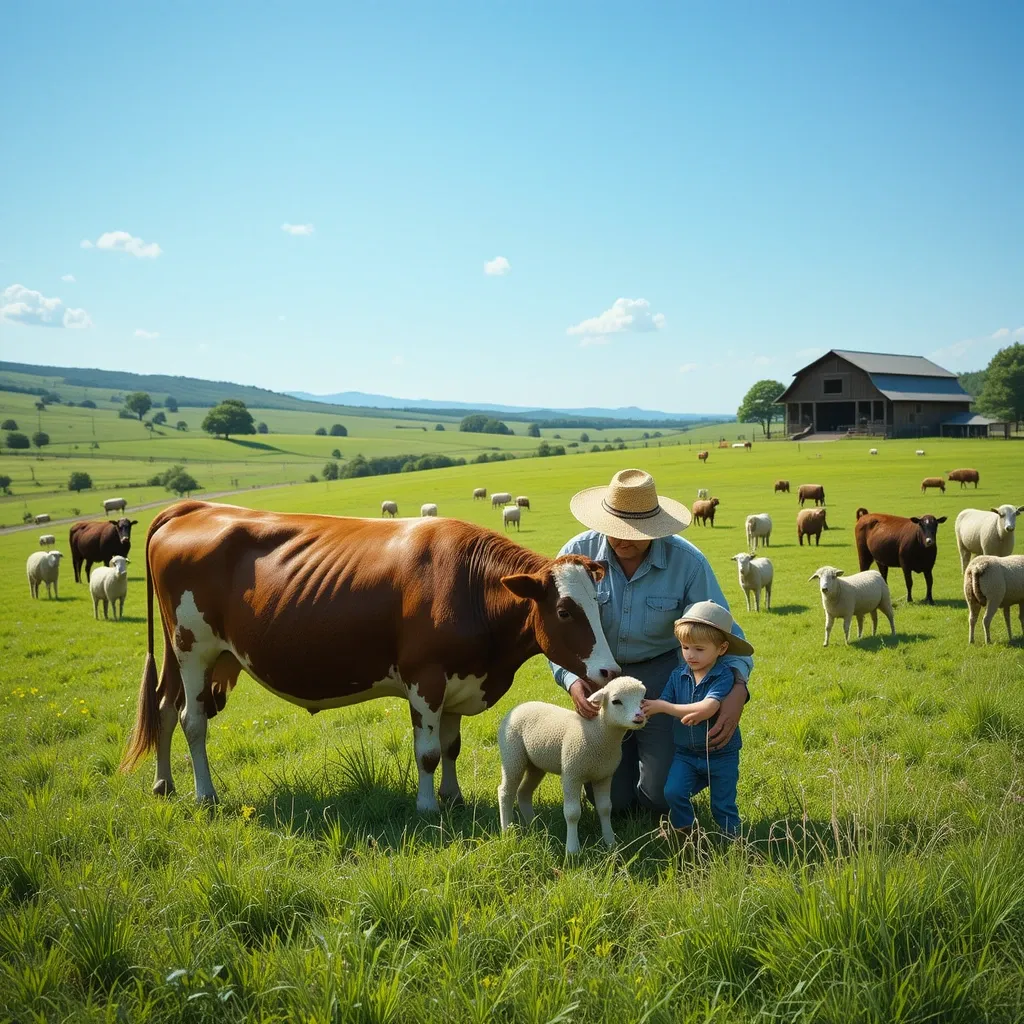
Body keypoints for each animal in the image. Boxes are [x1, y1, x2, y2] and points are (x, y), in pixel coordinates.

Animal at [118, 499, 614, 811]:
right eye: (565, 611)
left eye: (600, 603)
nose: (609, 670)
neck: (468, 586)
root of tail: (194, 507)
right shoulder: (425, 678)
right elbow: (428, 753)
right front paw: (428, 806)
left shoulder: (458, 680)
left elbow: (451, 747)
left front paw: (452, 798)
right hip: (193, 648)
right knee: (193, 720)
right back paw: (205, 794)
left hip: (193, 654)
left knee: (165, 708)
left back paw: (164, 784)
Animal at [497, 675, 647, 851]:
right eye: (616, 701)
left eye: (642, 700)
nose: (639, 717)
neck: (599, 732)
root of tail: (518, 707)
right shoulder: (571, 773)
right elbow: (572, 813)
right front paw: (573, 850)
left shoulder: (604, 776)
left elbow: (605, 808)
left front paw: (610, 842)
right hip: (512, 755)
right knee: (505, 792)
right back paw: (507, 831)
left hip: (536, 764)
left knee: (523, 792)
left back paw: (533, 826)